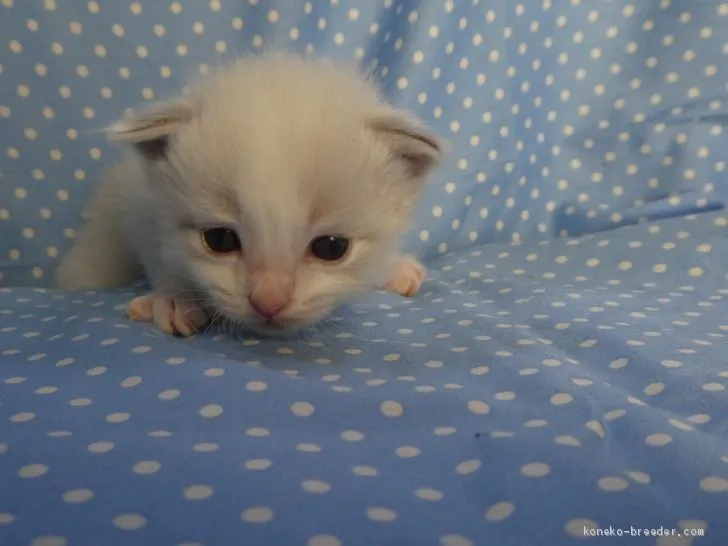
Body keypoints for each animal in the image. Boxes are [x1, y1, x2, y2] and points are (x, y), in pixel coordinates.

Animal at [55, 55, 444, 336]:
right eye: (220, 239)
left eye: (332, 248)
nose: (268, 302)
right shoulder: (139, 205)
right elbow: (162, 256)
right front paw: (175, 298)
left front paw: (393, 266)